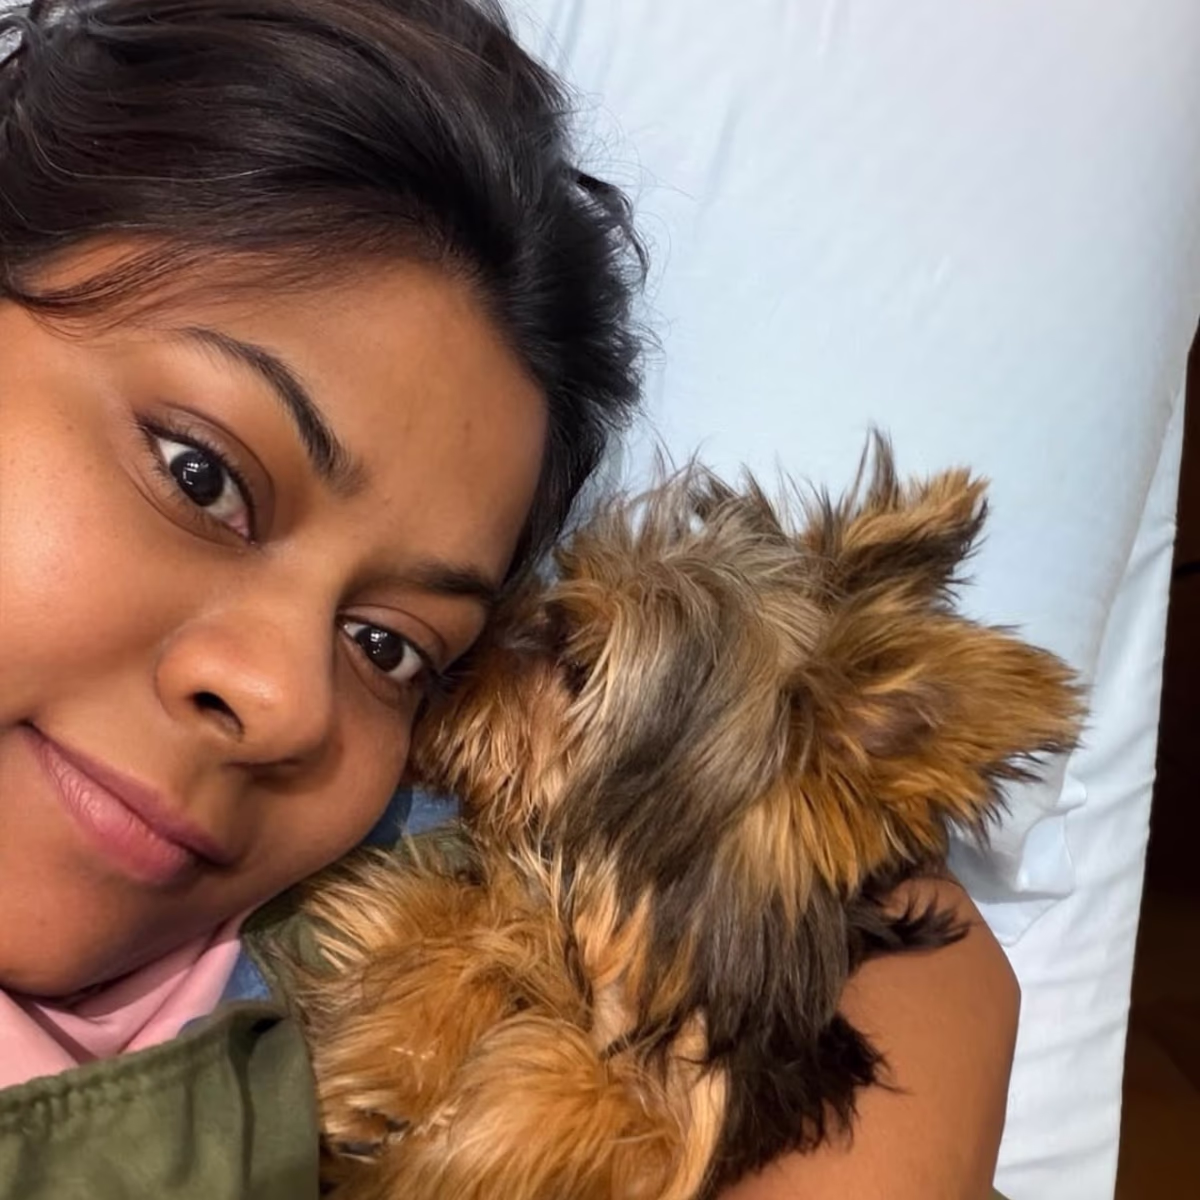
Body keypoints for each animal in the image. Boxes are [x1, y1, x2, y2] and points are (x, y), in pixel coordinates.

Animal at [287, 439, 1083, 1199]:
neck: (631, 929)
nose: (446, 666)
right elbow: (479, 917)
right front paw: (393, 1059)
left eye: (576, 662)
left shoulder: (699, 1119)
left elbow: (580, 1082)